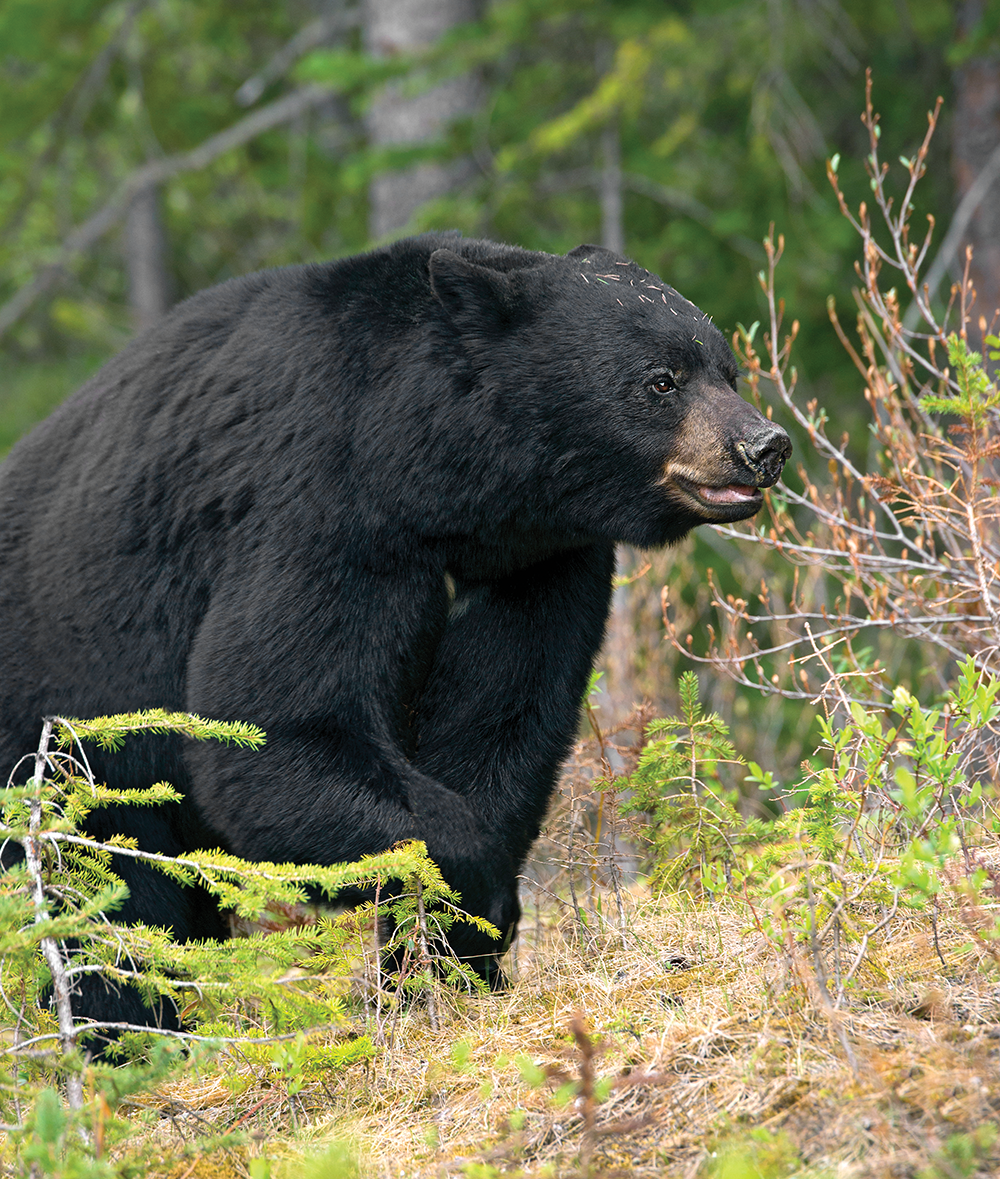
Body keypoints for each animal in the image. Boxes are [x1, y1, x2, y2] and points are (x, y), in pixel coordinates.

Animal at [0, 232, 787, 1023]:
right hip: (64, 736)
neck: (443, 489)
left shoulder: (541, 563)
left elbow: (502, 722)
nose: (764, 444)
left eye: (727, 369)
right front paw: (471, 895)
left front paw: (445, 965)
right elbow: (282, 731)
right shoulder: (323, 510)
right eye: (661, 380)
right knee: (107, 896)